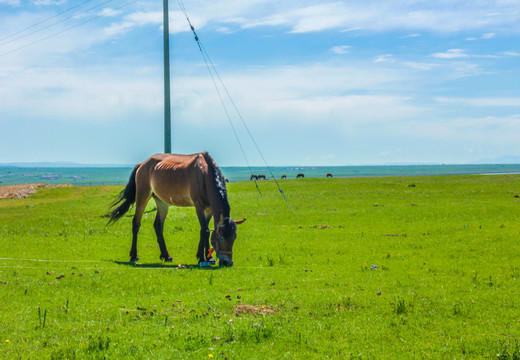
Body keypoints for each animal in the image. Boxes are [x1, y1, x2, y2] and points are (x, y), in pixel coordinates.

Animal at [107, 152, 246, 268]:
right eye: (221, 238)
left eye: (234, 237)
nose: (227, 262)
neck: (205, 174)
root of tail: (142, 164)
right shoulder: (199, 206)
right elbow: (205, 230)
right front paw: (204, 258)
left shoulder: (210, 209)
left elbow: (205, 229)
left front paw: (205, 257)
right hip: (142, 196)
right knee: (136, 223)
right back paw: (134, 255)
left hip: (162, 202)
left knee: (158, 225)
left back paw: (166, 256)